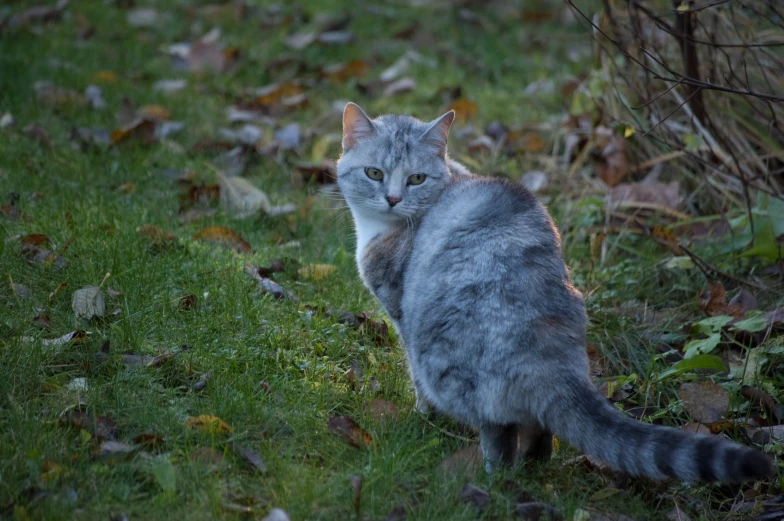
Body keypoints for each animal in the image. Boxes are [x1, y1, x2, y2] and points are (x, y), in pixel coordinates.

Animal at [334, 102, 776, 484]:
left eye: (416, 179)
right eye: (374, 173)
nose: (393, 199)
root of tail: (547, 356)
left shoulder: (400, 312)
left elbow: (414, 376)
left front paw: (422, 415)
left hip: (447, 361)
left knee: (496, 430)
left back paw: (494, 480)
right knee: (538, 429)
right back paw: (535, 470)